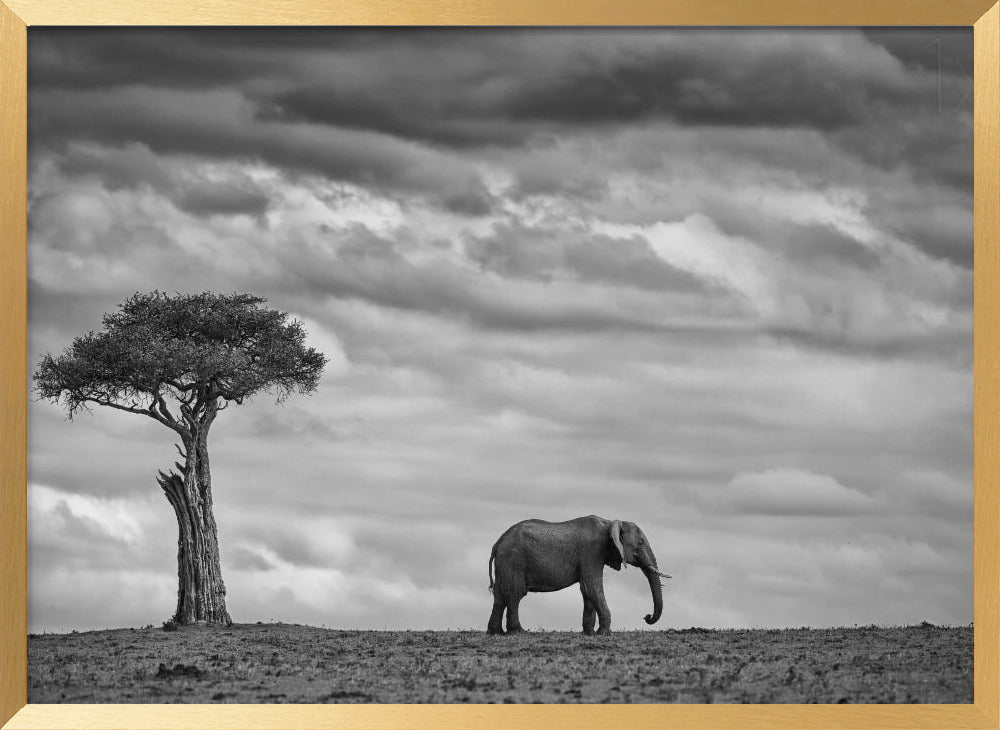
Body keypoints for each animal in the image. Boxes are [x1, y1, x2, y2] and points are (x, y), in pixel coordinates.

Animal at [487, 515, 669, 635]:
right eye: (640, 543)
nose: (646, 616)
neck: (610, 523)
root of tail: (497, 544)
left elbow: (587, 591)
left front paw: (589, 633)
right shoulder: (591, 552)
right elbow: (592, 587)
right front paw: (605, 633)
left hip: (505, 564)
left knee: (499, 597)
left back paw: (495, 633)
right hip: (513, 560)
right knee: (515, 595)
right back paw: (519, 632)